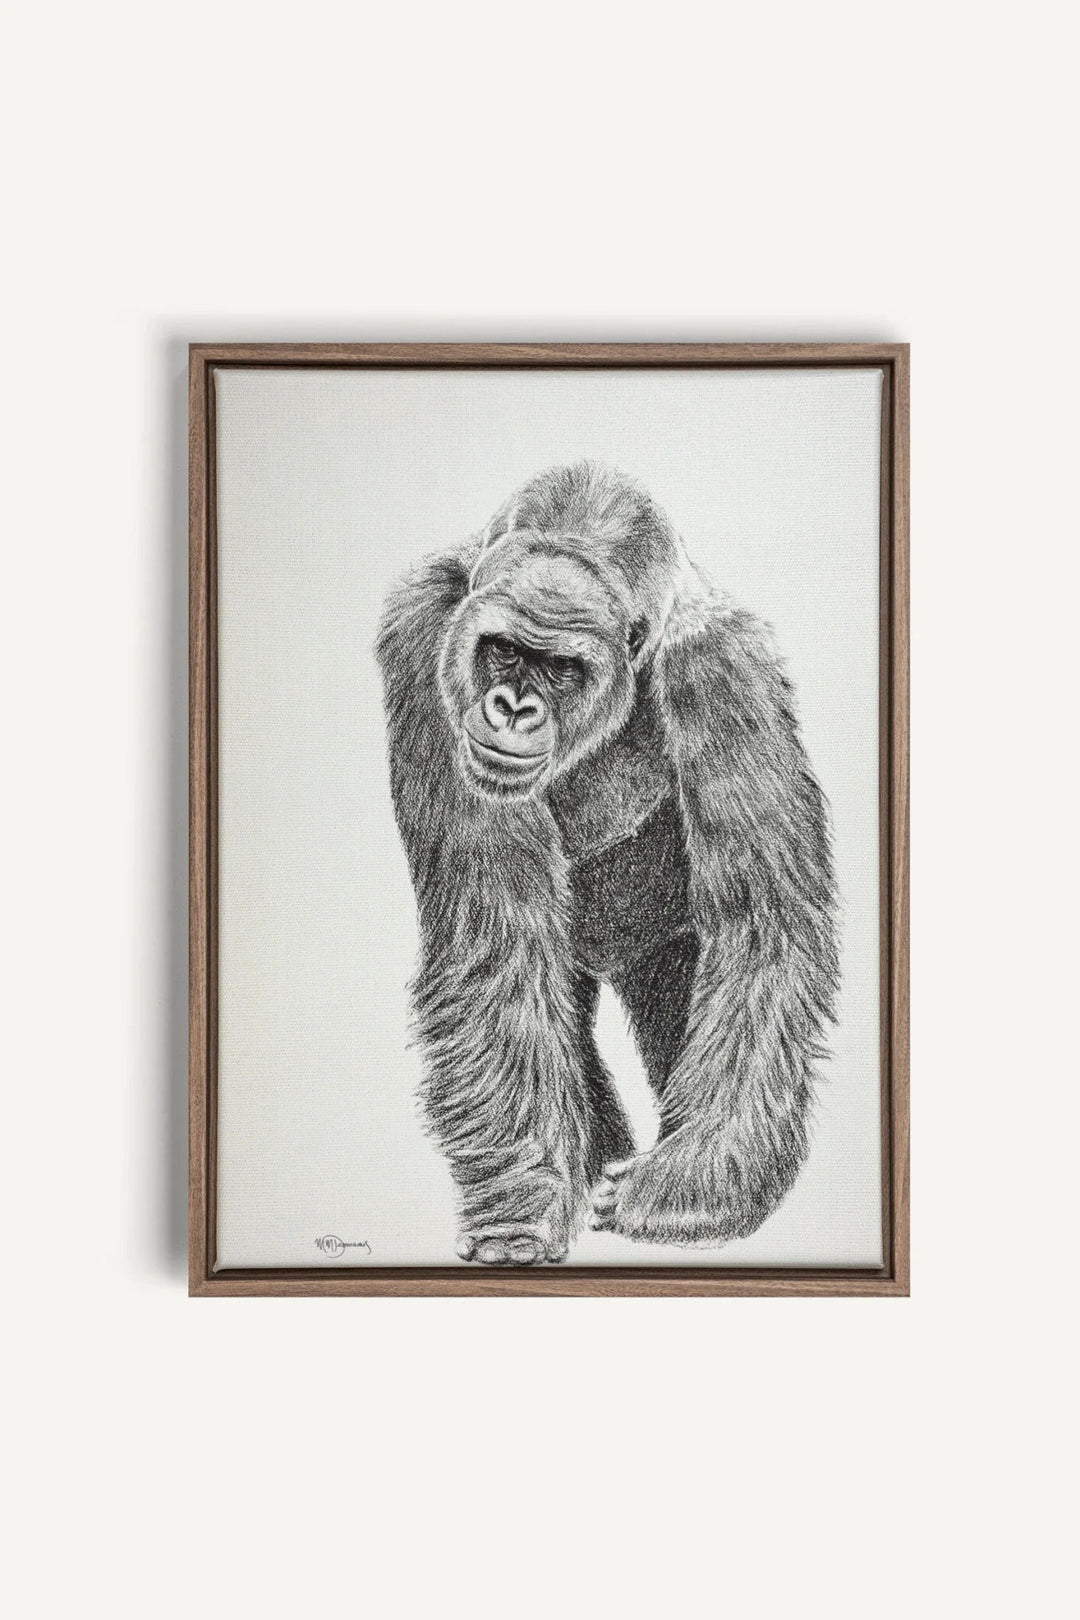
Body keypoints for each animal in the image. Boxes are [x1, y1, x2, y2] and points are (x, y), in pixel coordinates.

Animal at [377, 462, 838, 1264]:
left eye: (561, 667)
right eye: (505, 650)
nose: (511, 707)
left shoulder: (724, 671)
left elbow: (761, 927)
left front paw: (692, 1190)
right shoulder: (424, 631)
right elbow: (499, 946)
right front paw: (520, 1207)